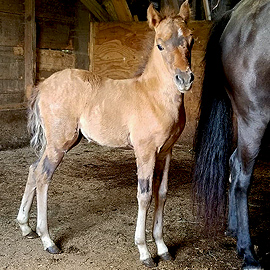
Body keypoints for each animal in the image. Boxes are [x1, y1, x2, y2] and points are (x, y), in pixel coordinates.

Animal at [16, 1, 194, 268]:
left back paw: (26, 227)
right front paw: (144, 251)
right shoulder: (144, 152)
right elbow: (144, 195)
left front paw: (163, 248)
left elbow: (161, 194)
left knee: (33, 169)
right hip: (60, 143)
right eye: (160, 44)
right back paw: (47, 240)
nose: (184, 79)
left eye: (191, 40)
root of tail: (42, 85)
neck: (153, 96)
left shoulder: (166, 152)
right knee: (43, 176)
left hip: (55, 141)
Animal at [194, 0, 270, 268]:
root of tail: (234, 14)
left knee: (234, 164)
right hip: (254, 118)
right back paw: (247, 252)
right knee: (242, 181)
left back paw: (234, 230)